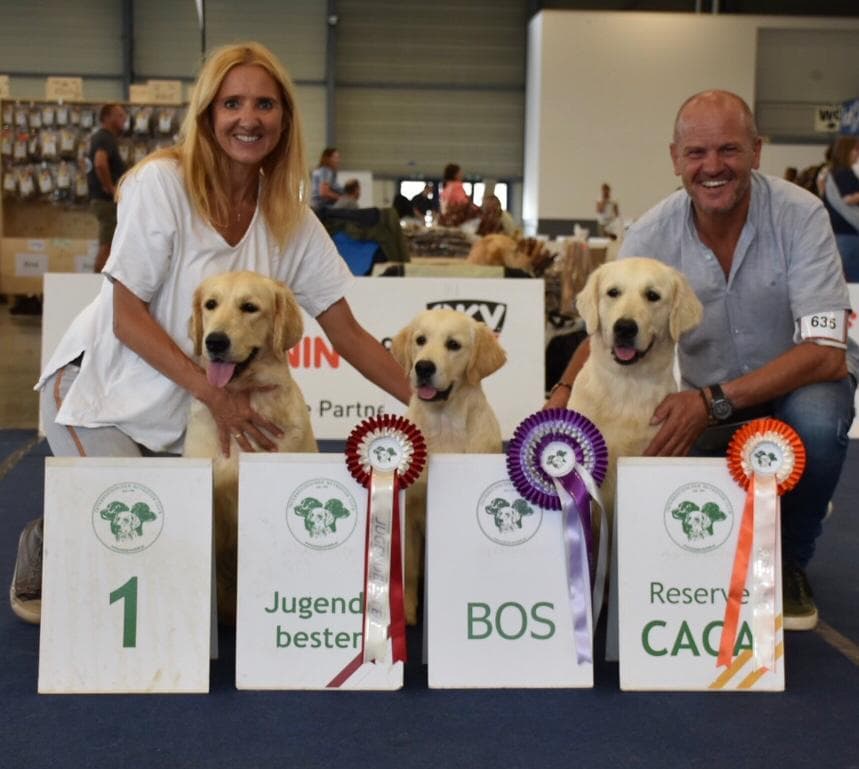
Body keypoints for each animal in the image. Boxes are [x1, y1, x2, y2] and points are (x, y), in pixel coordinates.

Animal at [391, 308, 507, 624]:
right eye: (420, 340)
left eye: (453, 345)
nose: (423, 367)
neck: (444, 426)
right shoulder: (410, 509)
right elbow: (410, 569)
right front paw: (408, 612)